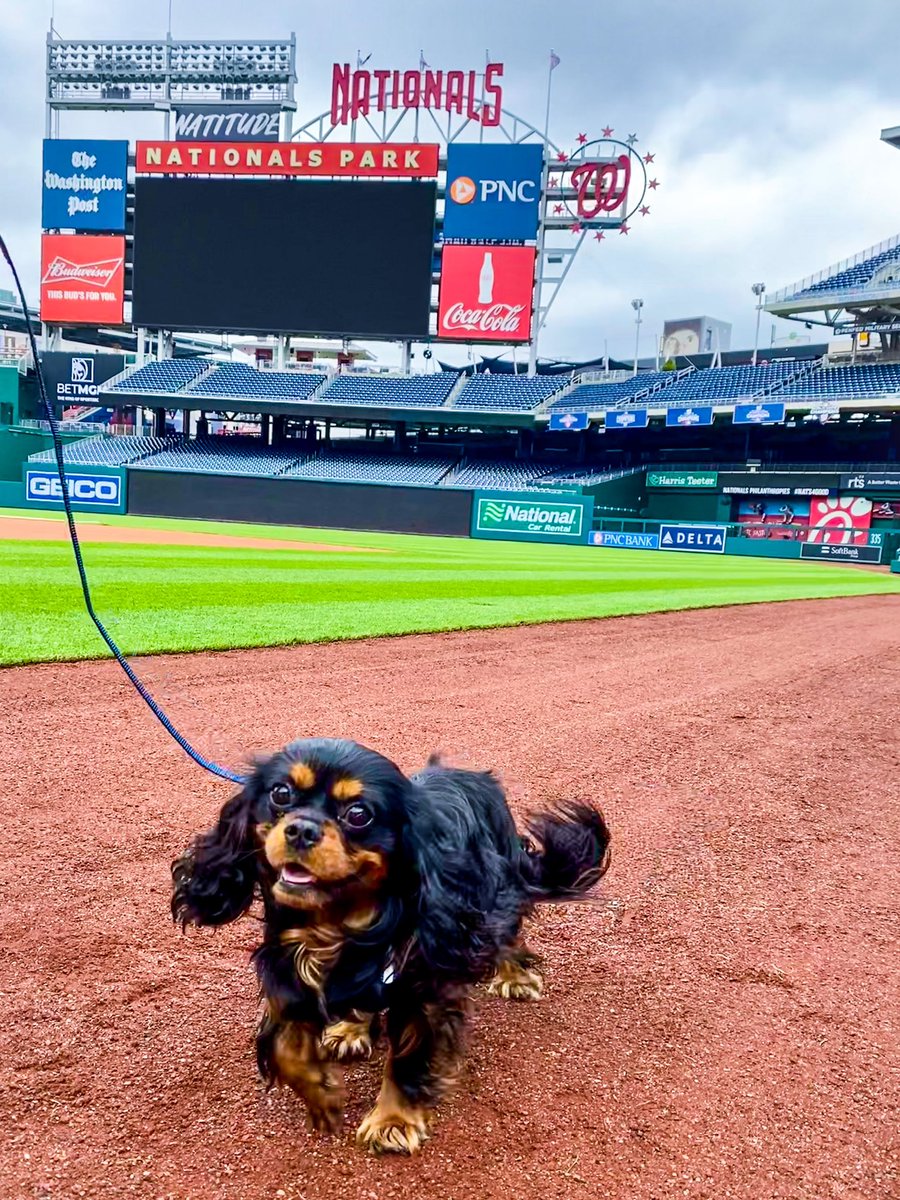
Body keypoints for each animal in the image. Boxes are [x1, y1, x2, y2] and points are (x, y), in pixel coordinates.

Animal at [170, 734, 614, 1147]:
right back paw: (350, 1029)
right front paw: (323, 1094)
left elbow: (407, 1057)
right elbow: (286, 1047)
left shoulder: (423, 984)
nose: (300, 829)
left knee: (506, 931)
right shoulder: (287, 966)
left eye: (358, 814)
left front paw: (393, 1121)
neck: (337, 919)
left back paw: (515, 977)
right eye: (281, 794)